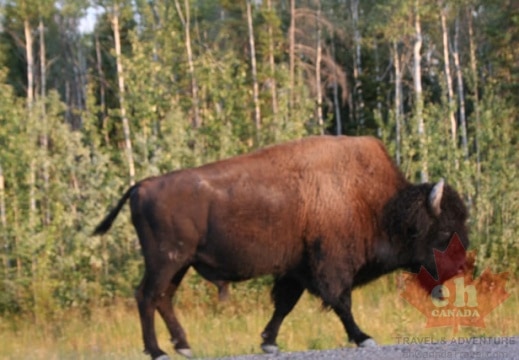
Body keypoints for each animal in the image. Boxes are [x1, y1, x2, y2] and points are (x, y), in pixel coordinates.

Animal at [94, 136, 472, 360]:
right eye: (444, 231)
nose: (464, 268)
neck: (377, 202)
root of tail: (141, 186)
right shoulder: (329, 267)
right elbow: (341, 301)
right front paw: (364, 337)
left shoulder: (297, 270)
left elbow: (285, 305)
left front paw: (268, 341)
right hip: (166, 261)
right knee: (146, 296)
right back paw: (158, 351)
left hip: (179, 265)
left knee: (162, 298)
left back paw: (183, 346)